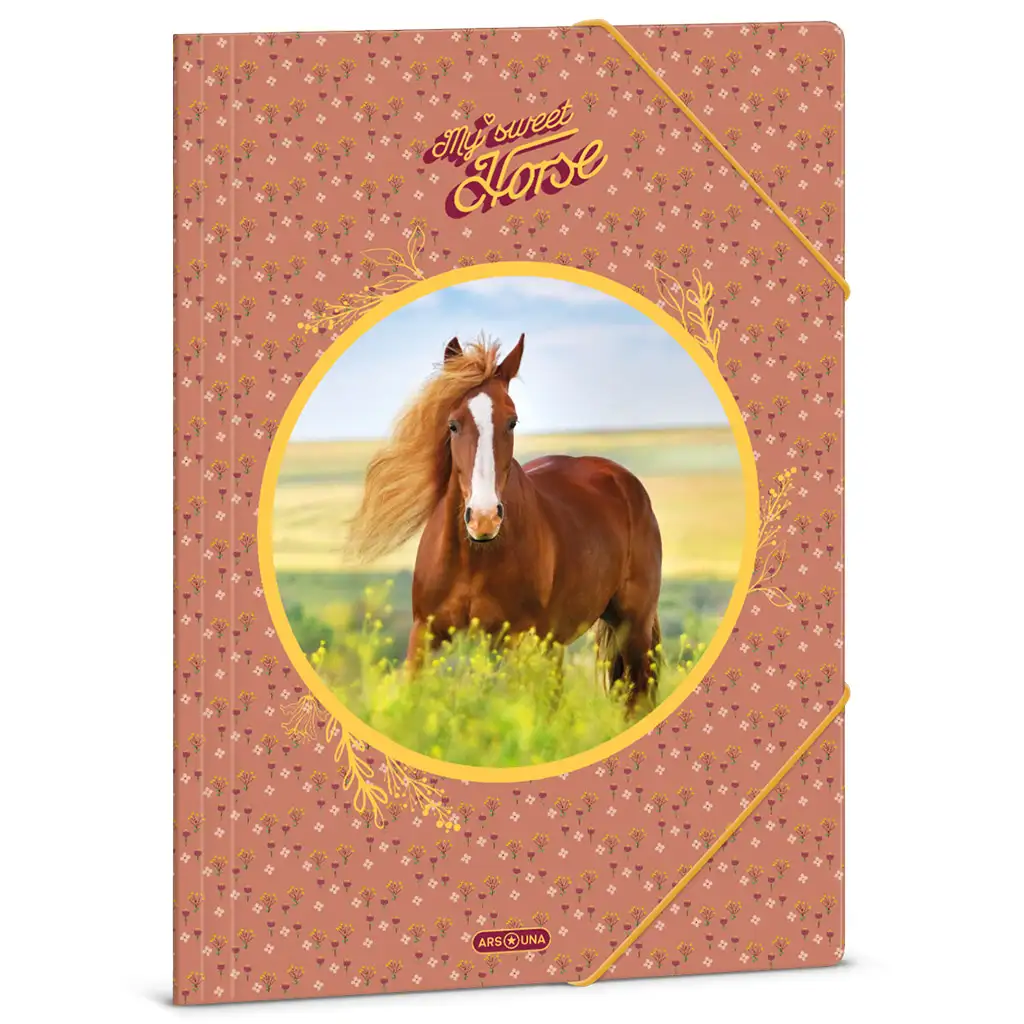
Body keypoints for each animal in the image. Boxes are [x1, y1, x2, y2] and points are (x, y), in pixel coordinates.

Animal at [347, 336, 663, 715]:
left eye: (511, 422)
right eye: (453, 424)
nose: (484, 518)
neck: (474, 560)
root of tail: (621, 478)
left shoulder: (518, 641)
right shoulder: (425, 634)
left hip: (632, 629)